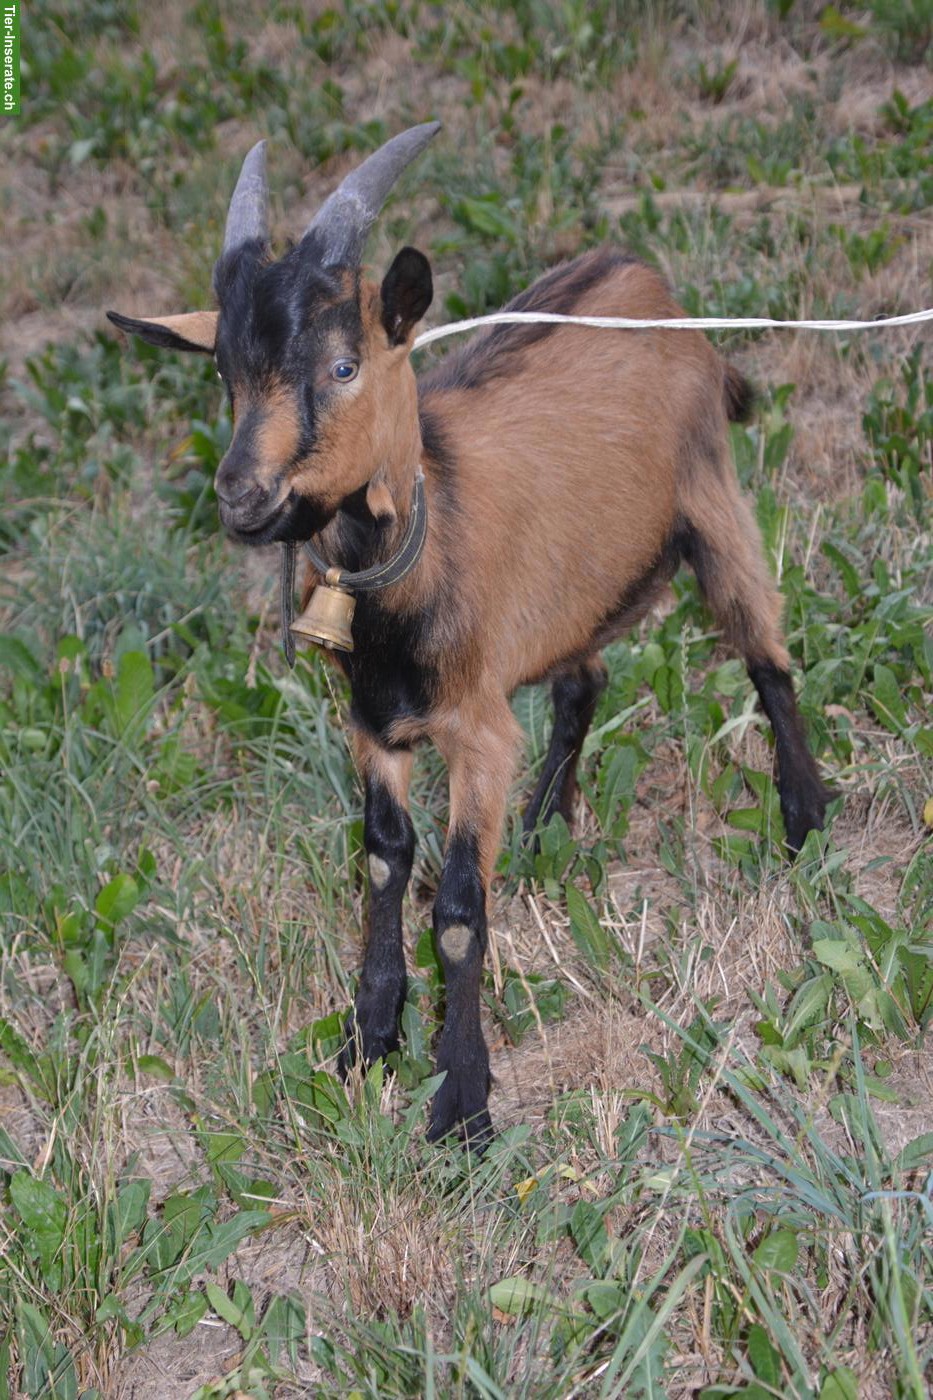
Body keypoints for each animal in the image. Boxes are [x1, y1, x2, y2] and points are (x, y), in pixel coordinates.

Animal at [108, 123, 830, 1148]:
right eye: (225, 373)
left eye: (342, 367)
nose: (242, 495)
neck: (419, 538)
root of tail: (643, 276)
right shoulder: (375, 725)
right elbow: (380, 857)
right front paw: (368, 1038)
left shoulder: (476, 733)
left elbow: (453, 907)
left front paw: (461, 1098)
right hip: (573, 584)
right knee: (581, 681)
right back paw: (540, 824)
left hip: (711, 496)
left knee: (765, 653)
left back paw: (803, 816)